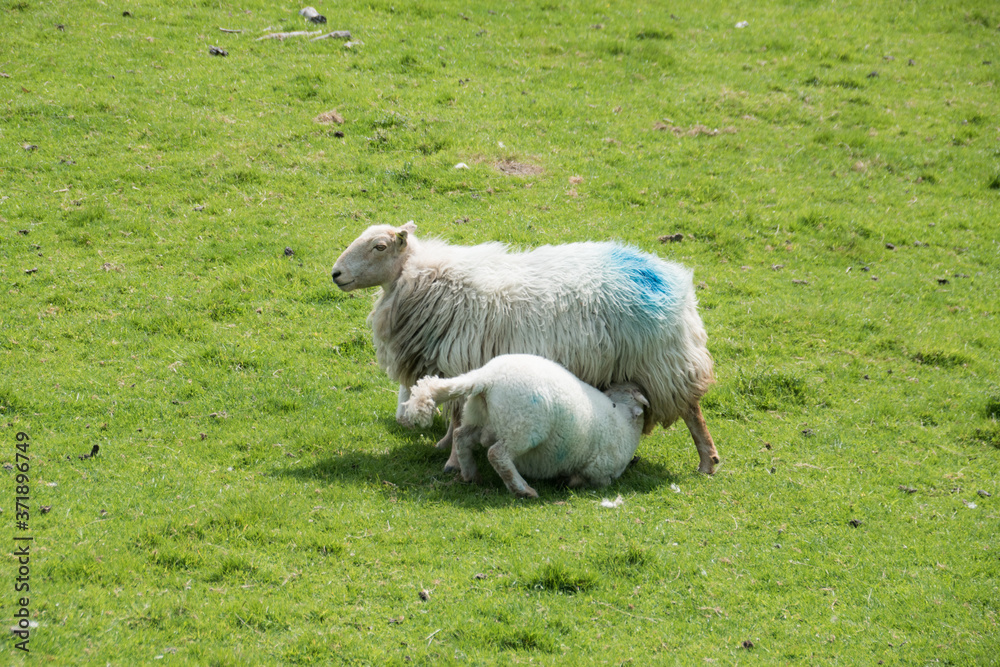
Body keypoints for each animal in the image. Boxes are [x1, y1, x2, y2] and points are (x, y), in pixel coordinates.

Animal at [330, 222, 720, 474]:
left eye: (379, 246)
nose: (335, 274)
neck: (424, 280)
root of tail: (671, 280)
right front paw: (444, 445)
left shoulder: (462, 360)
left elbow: (457, 417)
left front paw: (452, 462)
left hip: (662, 362)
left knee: (692, 410)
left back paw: (708, 461)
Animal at [400, 355, 649, 498]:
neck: (623, 422)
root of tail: (486, 377)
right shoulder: (599, 472)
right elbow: (586, 479)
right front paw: (569, 481)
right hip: (522, 428)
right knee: (497, 454)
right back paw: (523, 489)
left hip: (481, 419)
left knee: (461, 437)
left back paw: (471, 475)